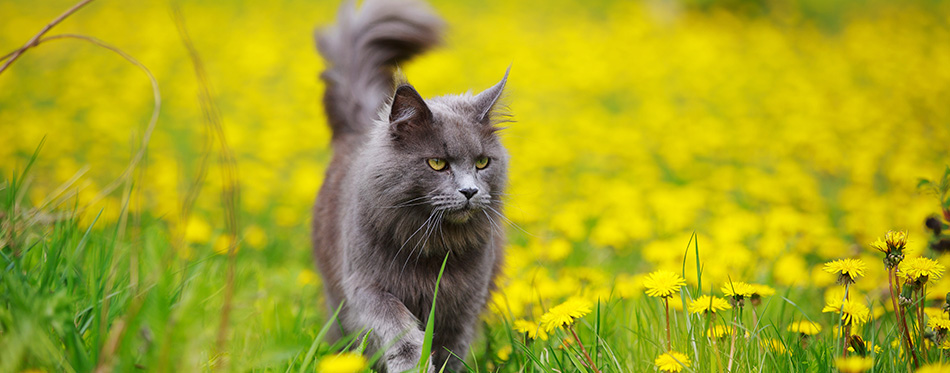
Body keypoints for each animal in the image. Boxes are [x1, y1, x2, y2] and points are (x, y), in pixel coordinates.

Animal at [312, 1, 510, 370]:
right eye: (437, 163)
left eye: (482, 162)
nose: (470, 191)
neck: (432, 248)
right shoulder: (365, 286)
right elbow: (395, 323)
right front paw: (411, 361)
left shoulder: (464, 304)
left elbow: (451, 351)